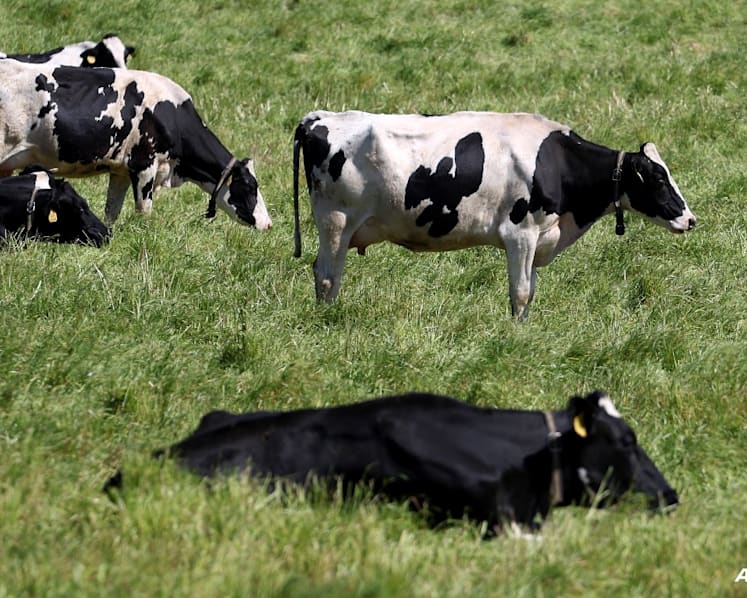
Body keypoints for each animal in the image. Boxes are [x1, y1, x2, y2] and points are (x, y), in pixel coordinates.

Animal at [0, 60, 272, 229]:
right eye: (249, 186)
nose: (268, 224)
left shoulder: (120, 169)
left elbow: (112, 211)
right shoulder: (144, 165)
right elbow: (144, 211)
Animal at [293, 111, 696, 318]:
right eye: (658, 178)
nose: (690, 219)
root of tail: (318, 118)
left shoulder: (539, 237)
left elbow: (530, 290)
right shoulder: (521, 233)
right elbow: (520, 291)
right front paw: (516, 333)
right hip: (336, 221)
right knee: (326, 276)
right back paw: (327, 320)